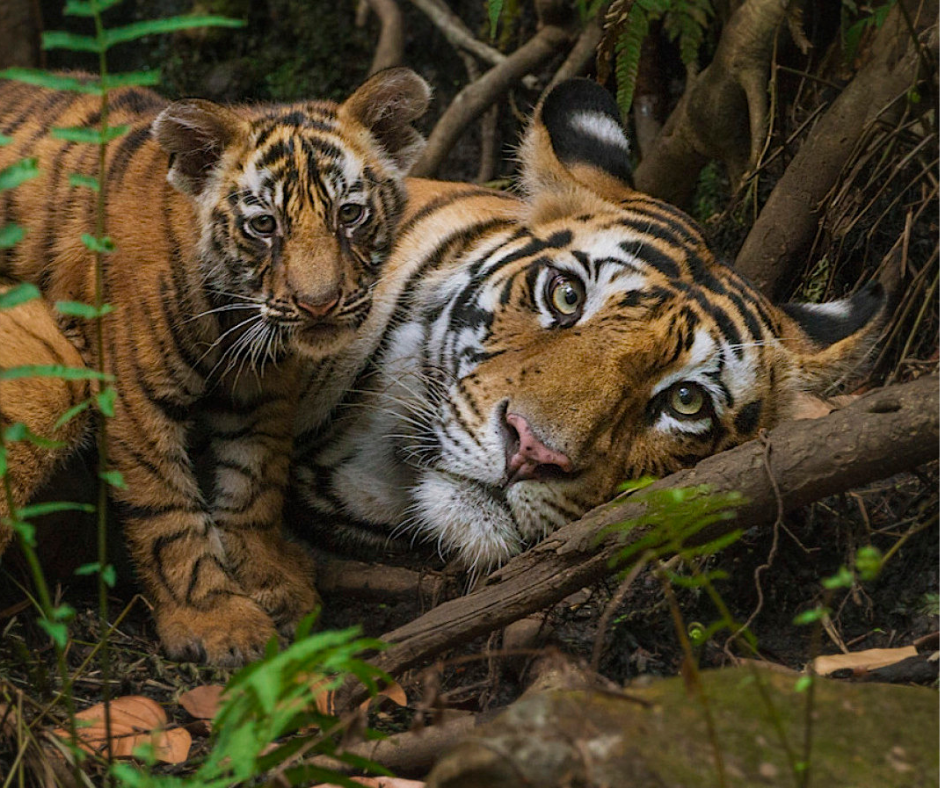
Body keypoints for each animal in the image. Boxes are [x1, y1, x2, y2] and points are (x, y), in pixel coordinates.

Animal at [0, 67, 430, 665]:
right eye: (264, 225)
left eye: (349, 214)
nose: (318, 305)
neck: (234, 318)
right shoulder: (134, 397)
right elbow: (167, 511)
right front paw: (217, 621)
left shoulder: (262, 390)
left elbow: (255, 484)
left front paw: (271, 580)